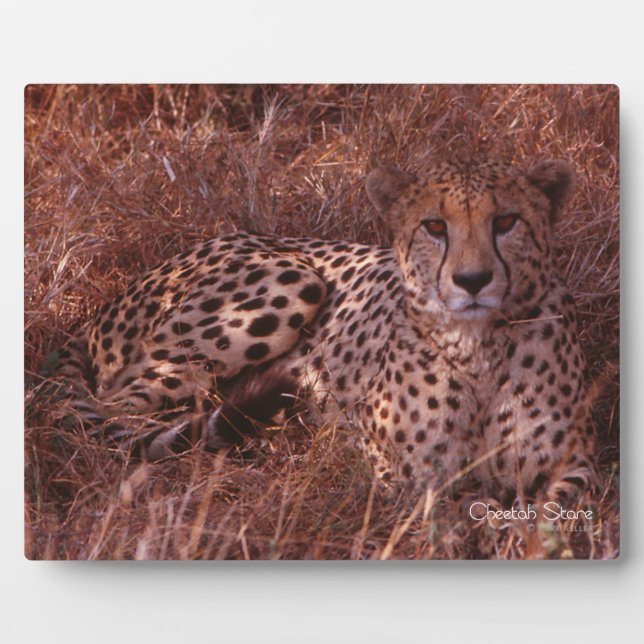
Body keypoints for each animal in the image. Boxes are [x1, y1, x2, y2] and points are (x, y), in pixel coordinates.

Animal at [53, 156, 596, 502]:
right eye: (435, 227)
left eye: (505, 221)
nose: (473, 280)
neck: (477, 347)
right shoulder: (396, 470)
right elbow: (448, 506)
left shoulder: (578, 465)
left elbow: (555, 508)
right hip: (292, 281)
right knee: (114, 412)